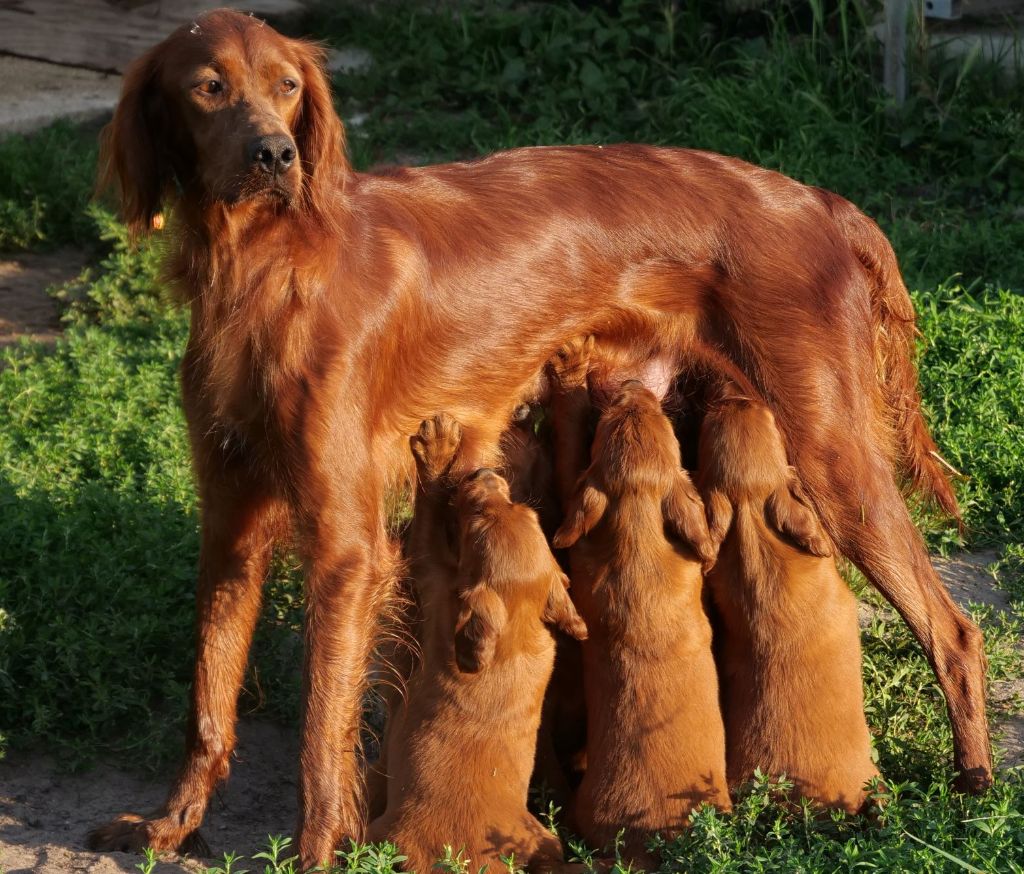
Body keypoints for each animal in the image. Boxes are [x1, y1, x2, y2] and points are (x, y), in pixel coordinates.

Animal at [370, 413, 589, 871]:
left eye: (476, 518)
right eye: (519, 506)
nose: (483, 473)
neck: (515, 634)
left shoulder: (437, 581)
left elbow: (429, 514)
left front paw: (437, 446)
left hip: (384, 832)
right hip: (545, 838)